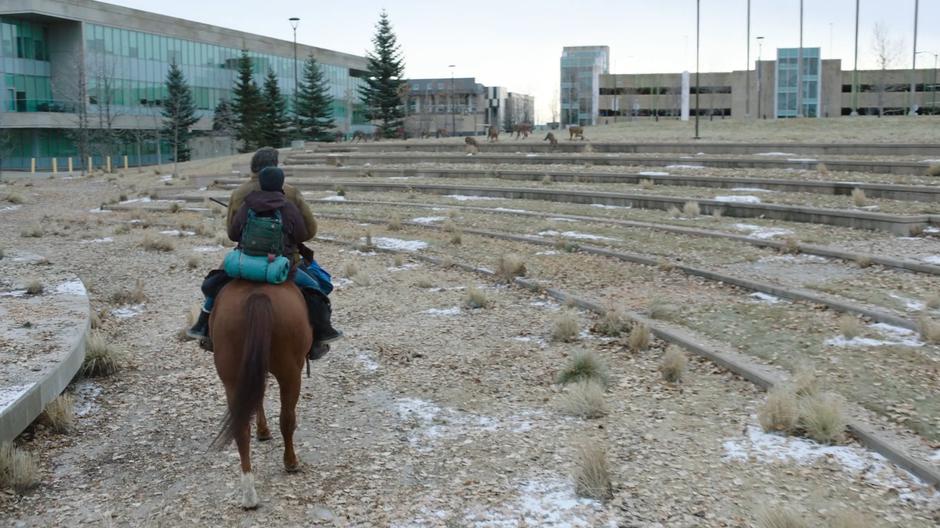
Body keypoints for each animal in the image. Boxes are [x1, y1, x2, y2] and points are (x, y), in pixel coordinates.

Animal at [208, 278, 312, 510]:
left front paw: (262, 431)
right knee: (287, 419)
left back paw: (249, 495)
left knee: (241, 428)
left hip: (232, 377)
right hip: (291, 373)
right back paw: (291, 463)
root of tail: (258, 296)